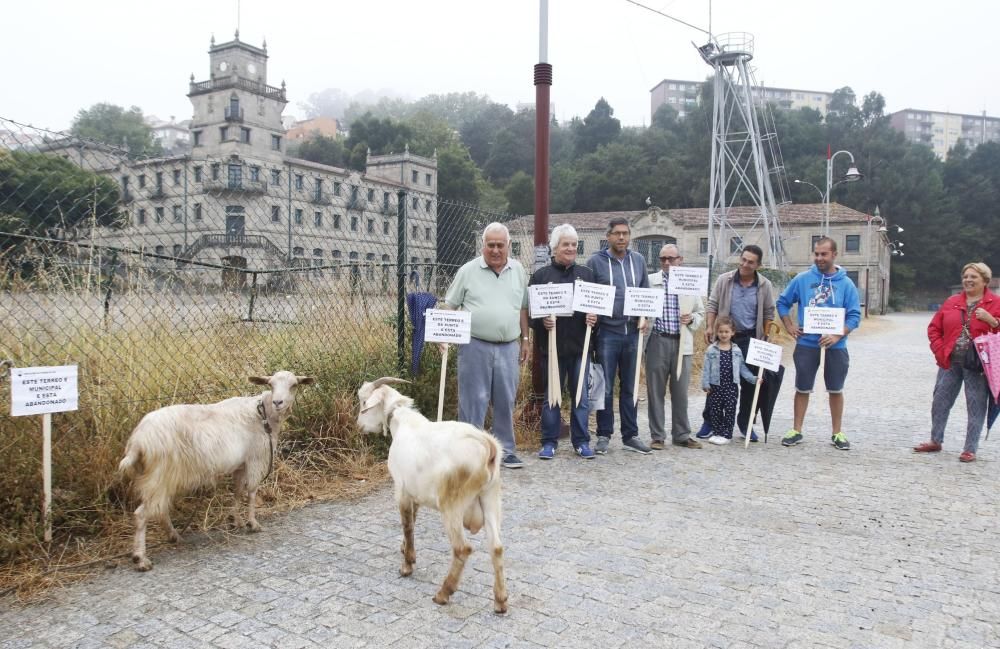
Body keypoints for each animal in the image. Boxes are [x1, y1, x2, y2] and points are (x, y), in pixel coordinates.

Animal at [117, 372, 312, 568]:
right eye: (271, 385)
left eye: (294, 385)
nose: (278, 402)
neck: (263, 414)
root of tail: (137, 443)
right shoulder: (255, 459)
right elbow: (251, 492)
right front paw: (252, 523)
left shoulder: (240, 464)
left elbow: (238, 491)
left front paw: (235, 520)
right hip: (159, 475)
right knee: (142, 514)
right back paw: (141, 558)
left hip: (158, 478)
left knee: (160, 510)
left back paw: (174, 536)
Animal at [358, 374, 508, 612]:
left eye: (364, 403)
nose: (359, 425)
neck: (404, 423)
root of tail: (487, 446)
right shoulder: (415, 493)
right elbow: (413, 519)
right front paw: (405, 550)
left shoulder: (401, 489)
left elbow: (407, 525)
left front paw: (407, 566)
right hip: (491, 497)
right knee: (496, 547)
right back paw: (501, 601)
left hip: (452, 505)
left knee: (462, 548)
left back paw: (443, 593)